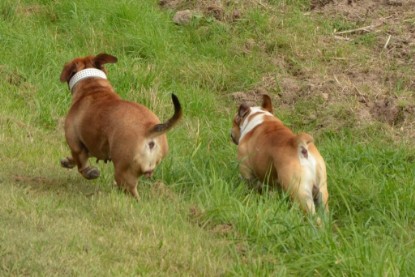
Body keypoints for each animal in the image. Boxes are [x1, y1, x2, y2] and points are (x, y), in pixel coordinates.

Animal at [59, 52, 182, 197]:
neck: (93, 87)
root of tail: (149, 129)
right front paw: (68, 161)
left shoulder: (76, 145)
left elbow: (81, 165)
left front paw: (90, 172)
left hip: (124, 173)